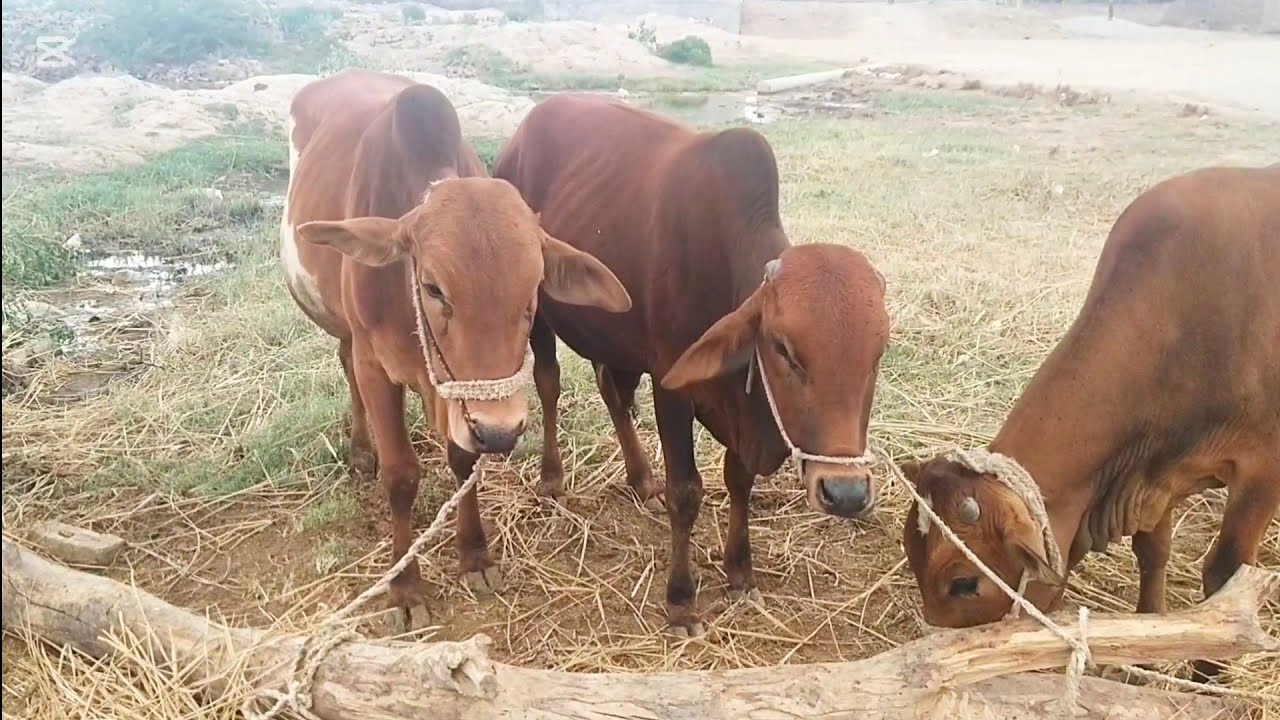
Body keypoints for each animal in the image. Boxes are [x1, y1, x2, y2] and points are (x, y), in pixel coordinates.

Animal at [280, 70, 631, 628]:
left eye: (533, 290)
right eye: (433, 288)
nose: (501, 430)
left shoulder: (459, 402)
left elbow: (463, 462)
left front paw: (474, 556)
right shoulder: (376, 364)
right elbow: (401, 475)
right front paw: (405, 587)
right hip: (341, 326)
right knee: (346, 366)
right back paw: (360, 450)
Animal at [493, 94, 891, 635]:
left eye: (878, 354)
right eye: (783, 348)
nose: (846, 492)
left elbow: (738, 480)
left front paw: (740, 571)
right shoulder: (672, 389)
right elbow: (687, 492)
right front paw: (681, 600)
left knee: (612, 391)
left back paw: (642, 480)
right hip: (538, 314)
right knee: (548, 383)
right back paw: (552, 479)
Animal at [900, 164, 1279, 678]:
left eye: (963, 583)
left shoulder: (1261, 469)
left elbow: (1224, 576)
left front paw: (1207, 671)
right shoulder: (1153, 473)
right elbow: (1152, 551)